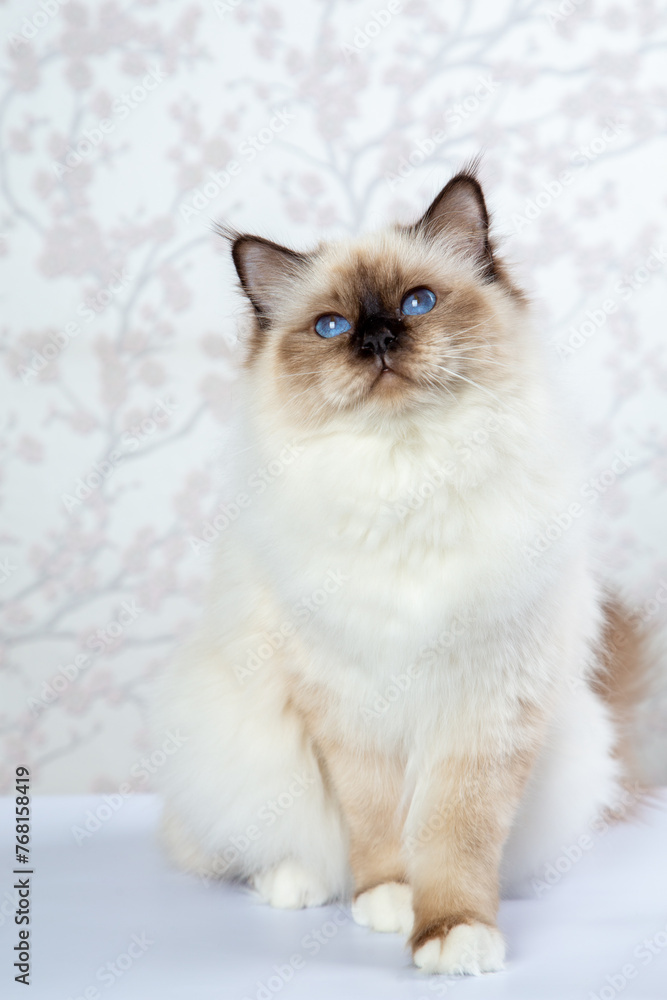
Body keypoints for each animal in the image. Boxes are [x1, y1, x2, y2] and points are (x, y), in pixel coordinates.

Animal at [157, 168, 648, 972]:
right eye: (330, 326)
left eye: (418, 302)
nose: (378, 336)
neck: (407, 474)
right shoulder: (346, 703)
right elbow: (375, 823)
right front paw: (388, 900)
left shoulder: (483, 707)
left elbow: (455, 837)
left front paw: (451, 931)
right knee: (247, 846)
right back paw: (294, 883)